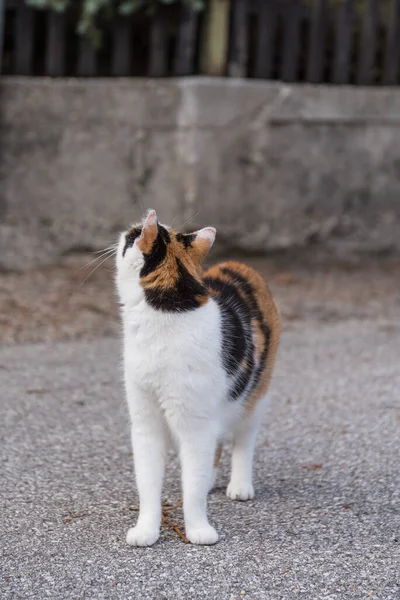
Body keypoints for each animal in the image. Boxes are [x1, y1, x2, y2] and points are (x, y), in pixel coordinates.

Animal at [115, 209, 278, 548]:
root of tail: (238, 265)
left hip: (255, 396)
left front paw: (199, 530)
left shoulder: (195, 424)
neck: (167, 314)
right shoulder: (146, 422)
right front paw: (146, 530)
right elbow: (148, 482)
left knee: (243, 440)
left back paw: (239, 485)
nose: (129, 228)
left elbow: (192, 488)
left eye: (133, 235)